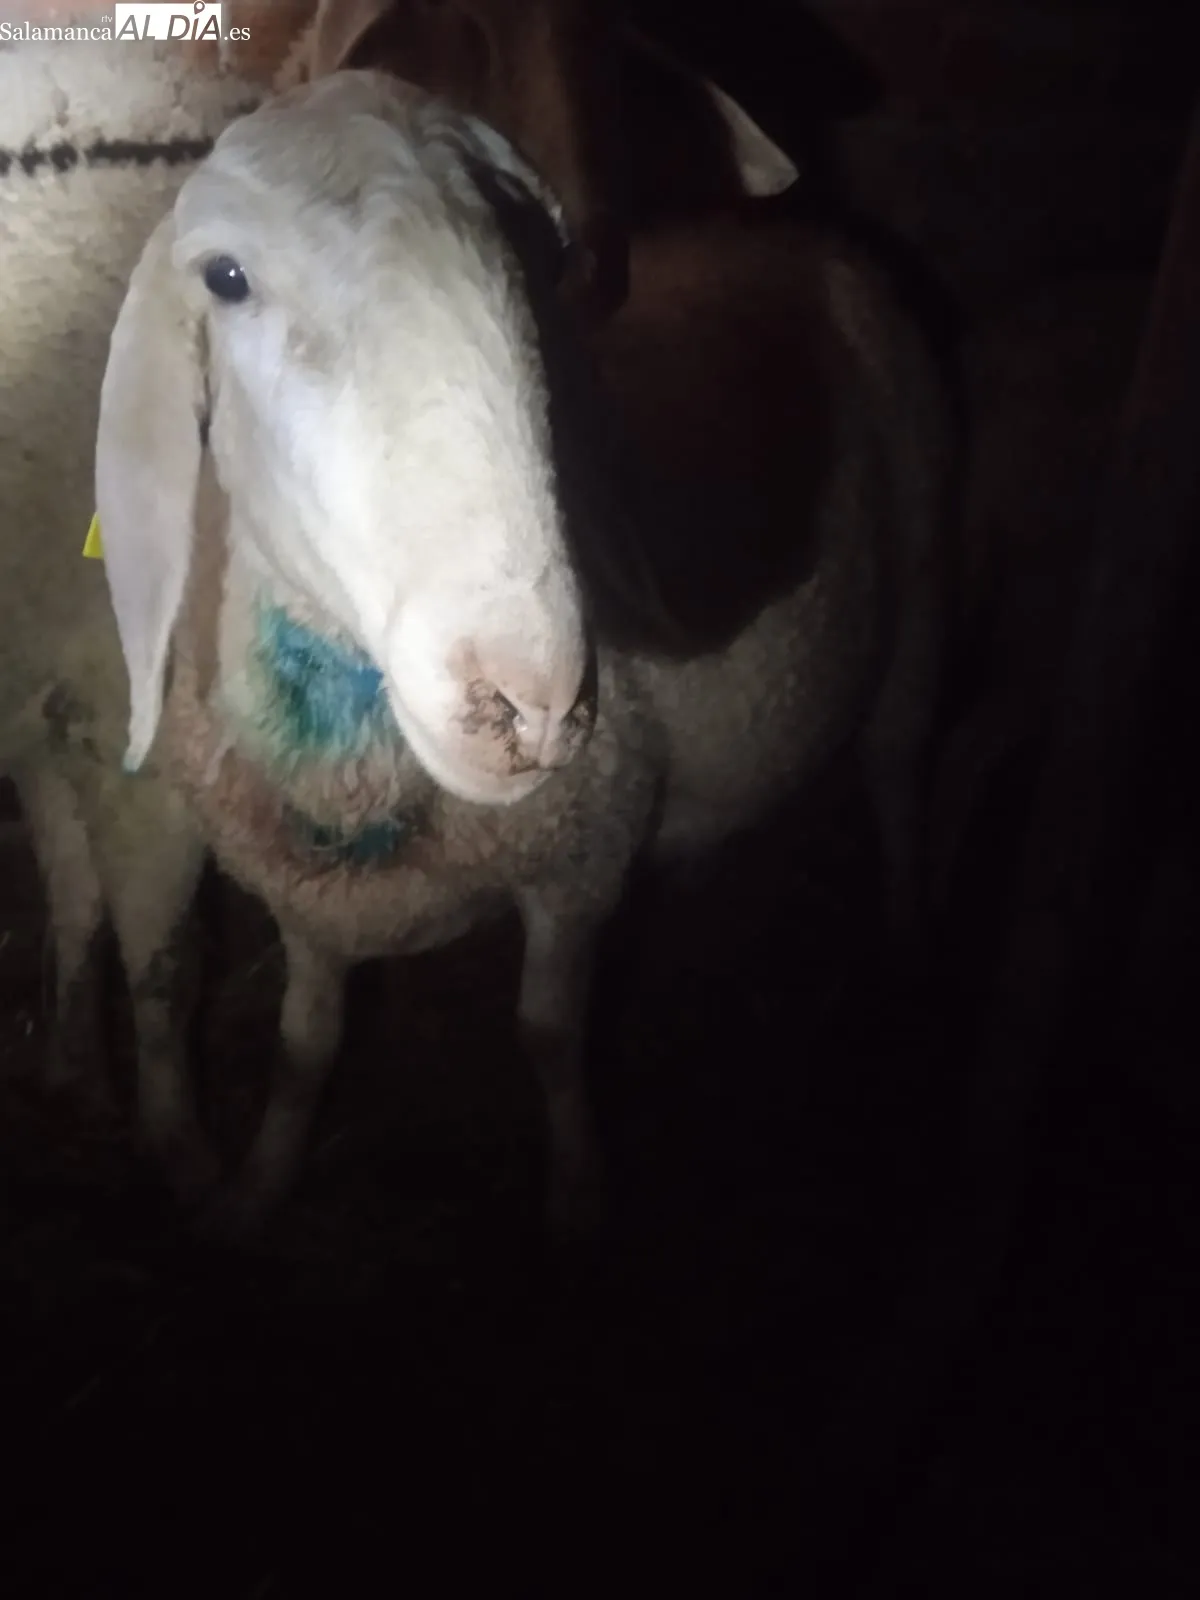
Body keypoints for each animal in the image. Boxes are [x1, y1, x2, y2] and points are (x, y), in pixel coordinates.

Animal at [6, 63, 950, 1238]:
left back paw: (905, 945)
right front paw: (256, 1188)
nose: (532, 698)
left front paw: (577, 1198)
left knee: (899, 768)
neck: (361, 768)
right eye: (224, 277)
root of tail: (796, 230)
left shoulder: (579, 861)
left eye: (538, 259)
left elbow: (548, 1033)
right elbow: (303, 1047)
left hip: (921, 592)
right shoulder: (309, 902)